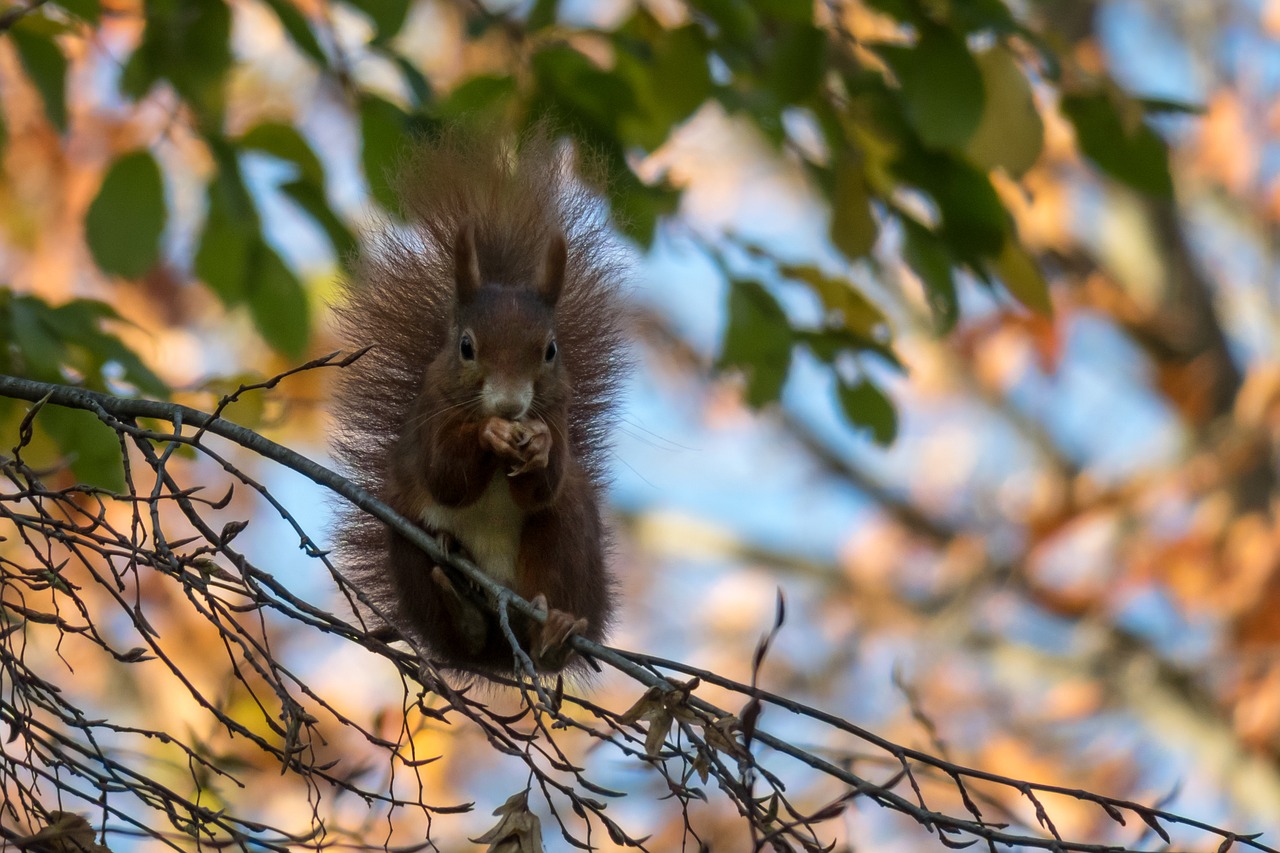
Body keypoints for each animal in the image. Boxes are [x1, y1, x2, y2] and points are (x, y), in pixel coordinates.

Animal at [330, 122, 629, 676]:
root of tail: (501, 657)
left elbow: (543, 485)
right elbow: (446, 476)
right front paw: (489, 434)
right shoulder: (428, 417)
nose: (510, 406)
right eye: (466, 346)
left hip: (566, 541)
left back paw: (556, 632)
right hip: (405, 536)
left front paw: (537, 445)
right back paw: (461, 608)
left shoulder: (557, 415)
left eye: (550, 350)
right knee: (456, 622)